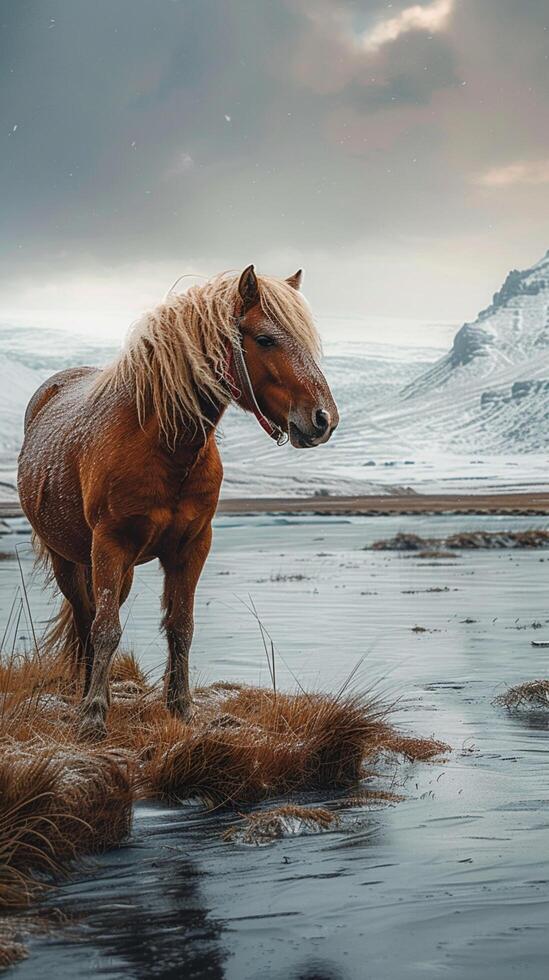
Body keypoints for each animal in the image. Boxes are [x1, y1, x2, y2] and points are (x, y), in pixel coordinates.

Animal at [18, 264, 338, 740]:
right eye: (265, 339)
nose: (323, 419)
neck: (163, 444)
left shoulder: (191, 546)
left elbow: (181, 627)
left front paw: (181, 707)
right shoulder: (109, 544)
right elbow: (106, 629)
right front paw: (93, 715)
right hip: (71, 560)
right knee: (86, 619)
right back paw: (85, 697)